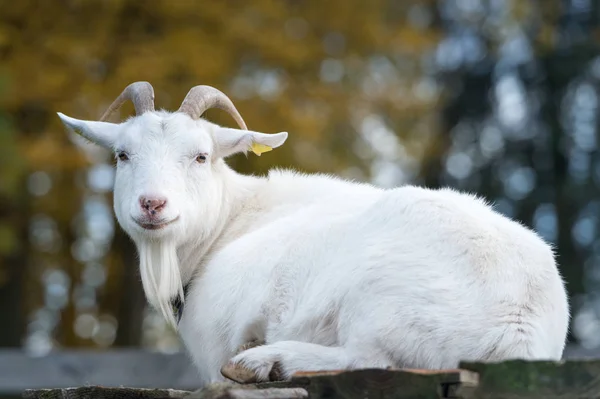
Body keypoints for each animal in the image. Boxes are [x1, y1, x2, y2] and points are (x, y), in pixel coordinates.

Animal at [58, 83, 568, 386]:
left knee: (372, 359)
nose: (152, 204)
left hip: (381, 298)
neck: (231, 221)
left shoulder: (215, 341)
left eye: (201, 156)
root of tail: (519, 324)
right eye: (122, 154)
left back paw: (265, 361)